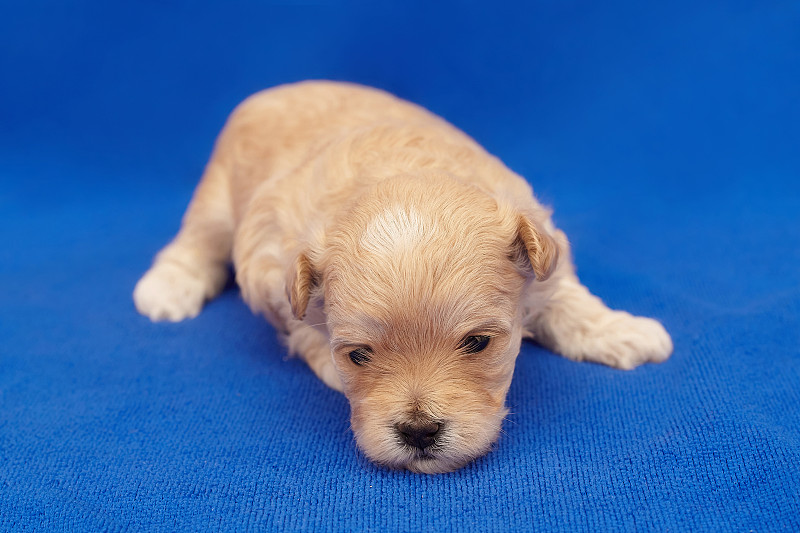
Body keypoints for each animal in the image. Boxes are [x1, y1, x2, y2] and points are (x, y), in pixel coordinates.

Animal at [134, 81, 672, 472]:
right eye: (358, 356)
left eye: (478, 343)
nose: (418, 432)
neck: (395, 173)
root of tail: (269, 92)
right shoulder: (268, 269)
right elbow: (302, 328)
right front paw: (325, 363)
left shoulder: (543, 261)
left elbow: (570, 303)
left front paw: (623, 331)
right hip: (217, 198)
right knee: (195, 241)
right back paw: (166, 289)